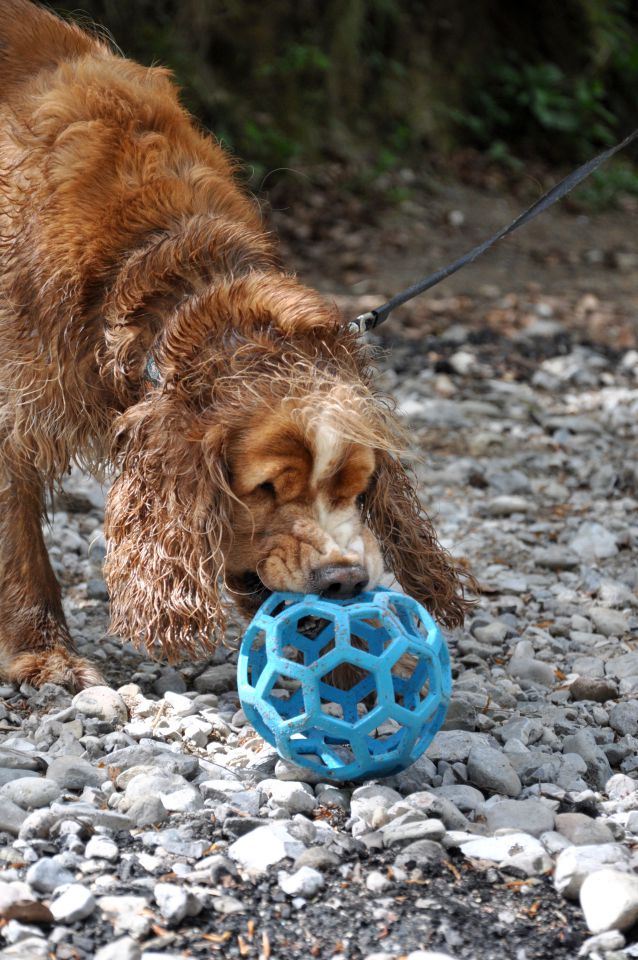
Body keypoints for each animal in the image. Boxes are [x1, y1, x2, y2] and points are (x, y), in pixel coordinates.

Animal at [0, 0, 472, 688]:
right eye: (267, 487)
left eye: (356, 487)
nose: (343, 580)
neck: (157, 262)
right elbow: (20, 544)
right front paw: (43, 654)